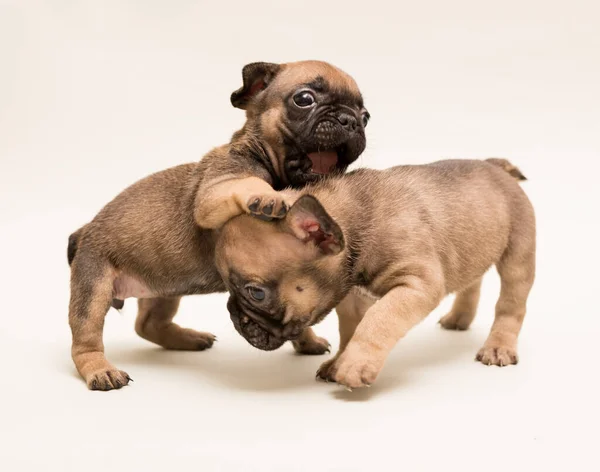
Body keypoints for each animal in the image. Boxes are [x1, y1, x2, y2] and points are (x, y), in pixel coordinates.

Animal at [64, 60, 366, 390]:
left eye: (366, 116)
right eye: (304, 99)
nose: (351, 121)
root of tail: (85, 230)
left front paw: (307, 340)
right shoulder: (216, 188)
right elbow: (247, 183)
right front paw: (268, 196)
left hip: (163, 288)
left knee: (148, 324)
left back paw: (187, 339)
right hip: (94, 286)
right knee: (85, 337)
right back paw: (101, 370)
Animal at [214, 160, 536, 390]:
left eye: (256, 293)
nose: (233, 313)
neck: (355, 223)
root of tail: (495, 166)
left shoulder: (416, 284)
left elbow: (378, 320)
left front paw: (354, 365)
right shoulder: (351, 299)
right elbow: (350, 330)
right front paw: (339, 361)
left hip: (518, 254)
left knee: (511, 304)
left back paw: (498, 347)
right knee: (472, 282)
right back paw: (459, 318)